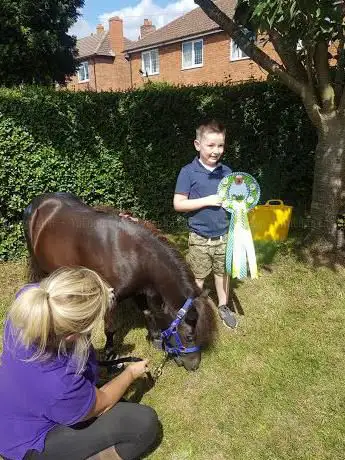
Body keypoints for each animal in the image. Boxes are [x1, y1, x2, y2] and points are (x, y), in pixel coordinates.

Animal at [22, 192, 216, 372]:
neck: (133, 255)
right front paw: (110, 355)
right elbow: (110, 329)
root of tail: (37, 203)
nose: (194, 365)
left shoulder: (140, 290)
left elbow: (148, 312)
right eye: (189, 336)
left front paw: (155, 338)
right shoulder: (111, 298)